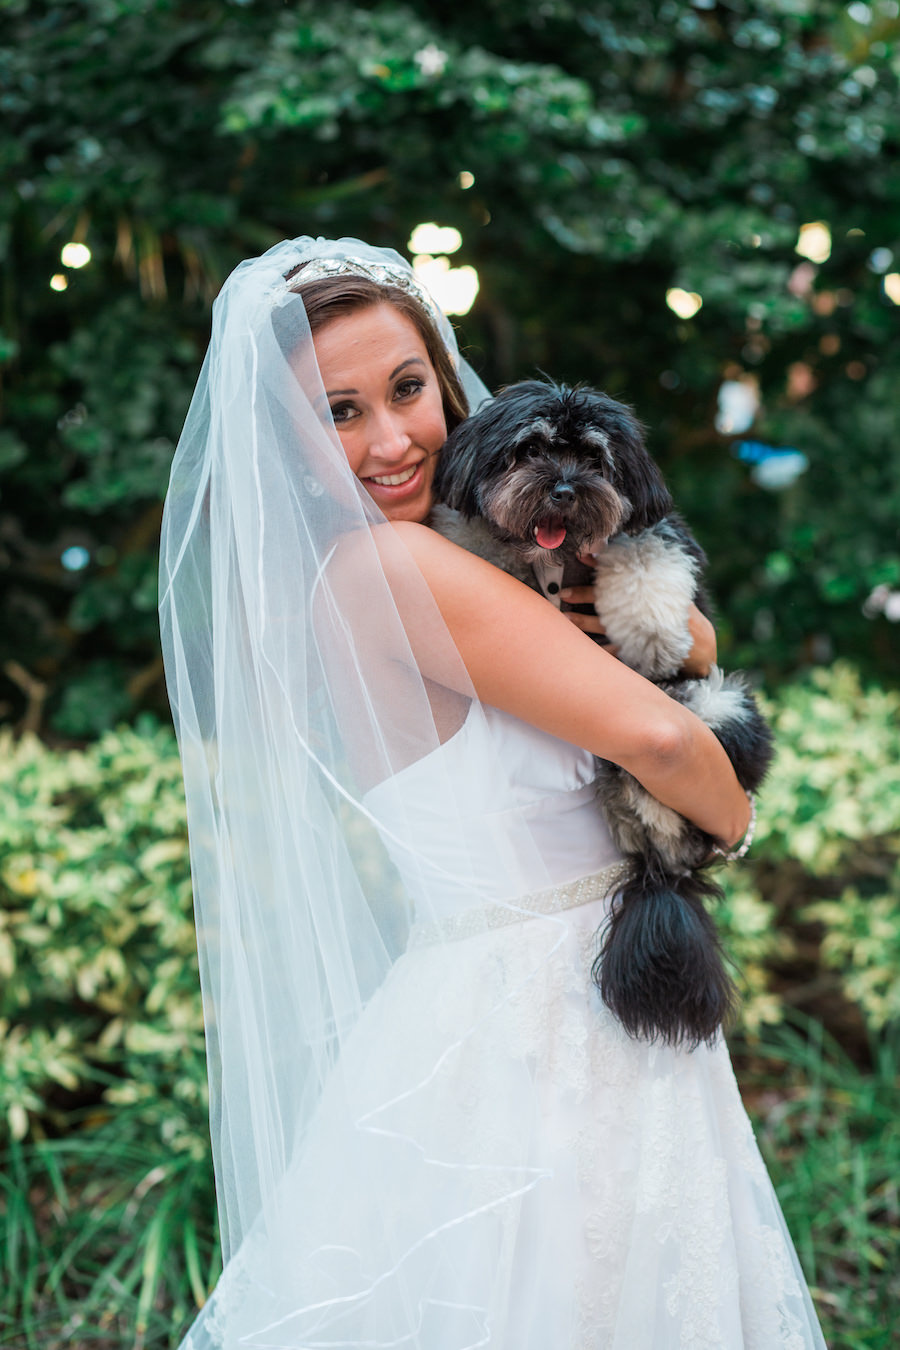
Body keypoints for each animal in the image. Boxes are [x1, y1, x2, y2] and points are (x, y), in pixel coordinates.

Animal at [431, 380, 771, 1053]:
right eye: (530, 450)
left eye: (594, 459)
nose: (564, 489)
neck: (557, 559)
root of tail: (659, 869)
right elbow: (475, 540)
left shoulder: (657, 528)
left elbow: (644, 554)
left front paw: (650, 637)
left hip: (715, 706)